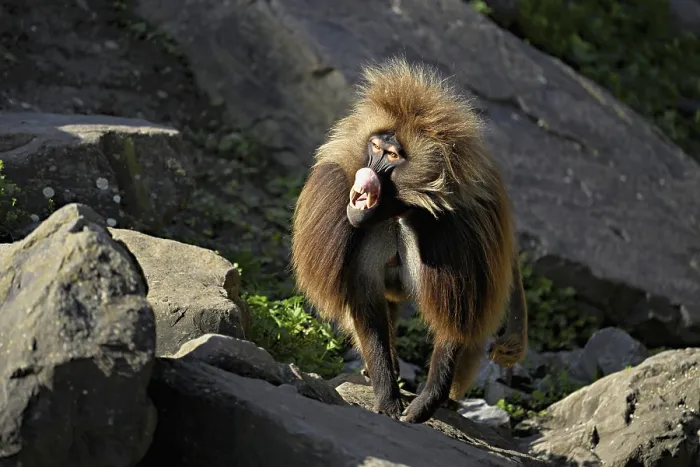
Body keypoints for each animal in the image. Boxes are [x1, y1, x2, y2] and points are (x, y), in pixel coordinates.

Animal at [290, 56, 528, 424]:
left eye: (392, 155)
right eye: (374, 147)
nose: (368, 171)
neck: (402, 209)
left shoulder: (460, 233)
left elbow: (454, 322)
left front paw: (427, 402)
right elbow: (366, 304)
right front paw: (387, 395)